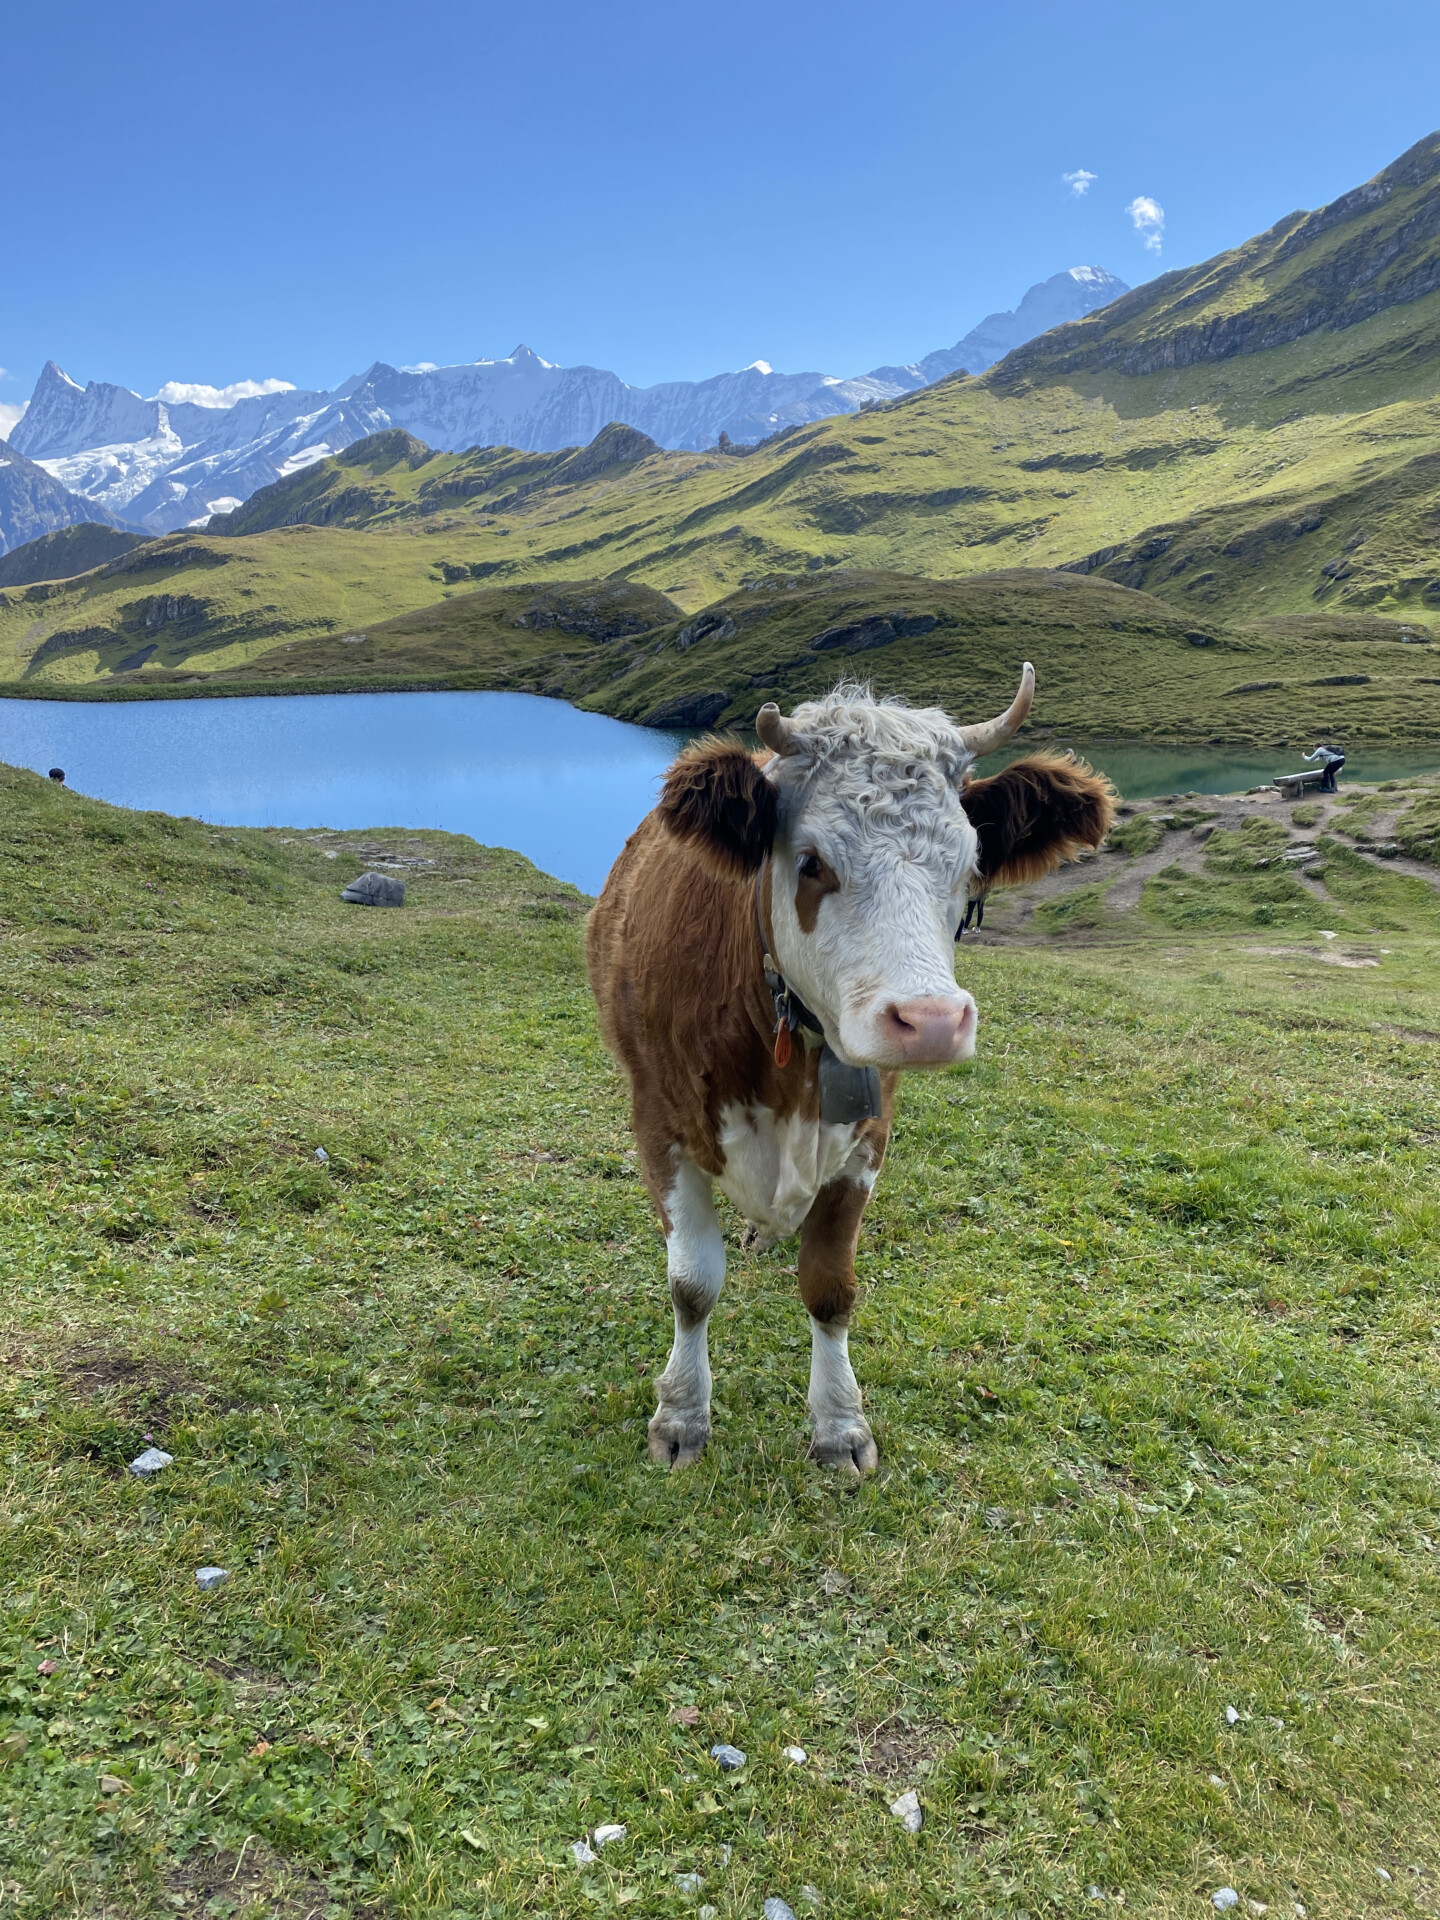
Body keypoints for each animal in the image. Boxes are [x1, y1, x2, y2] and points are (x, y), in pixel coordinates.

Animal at [587, 668, 1113, 1474]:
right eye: (811, 862)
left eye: (971, 865)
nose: (932, 1021)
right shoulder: (659, 1123)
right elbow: (692, 1285)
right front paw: (681, 1415)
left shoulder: (867, 1135)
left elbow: (830, 1288)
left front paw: (838, 1425)